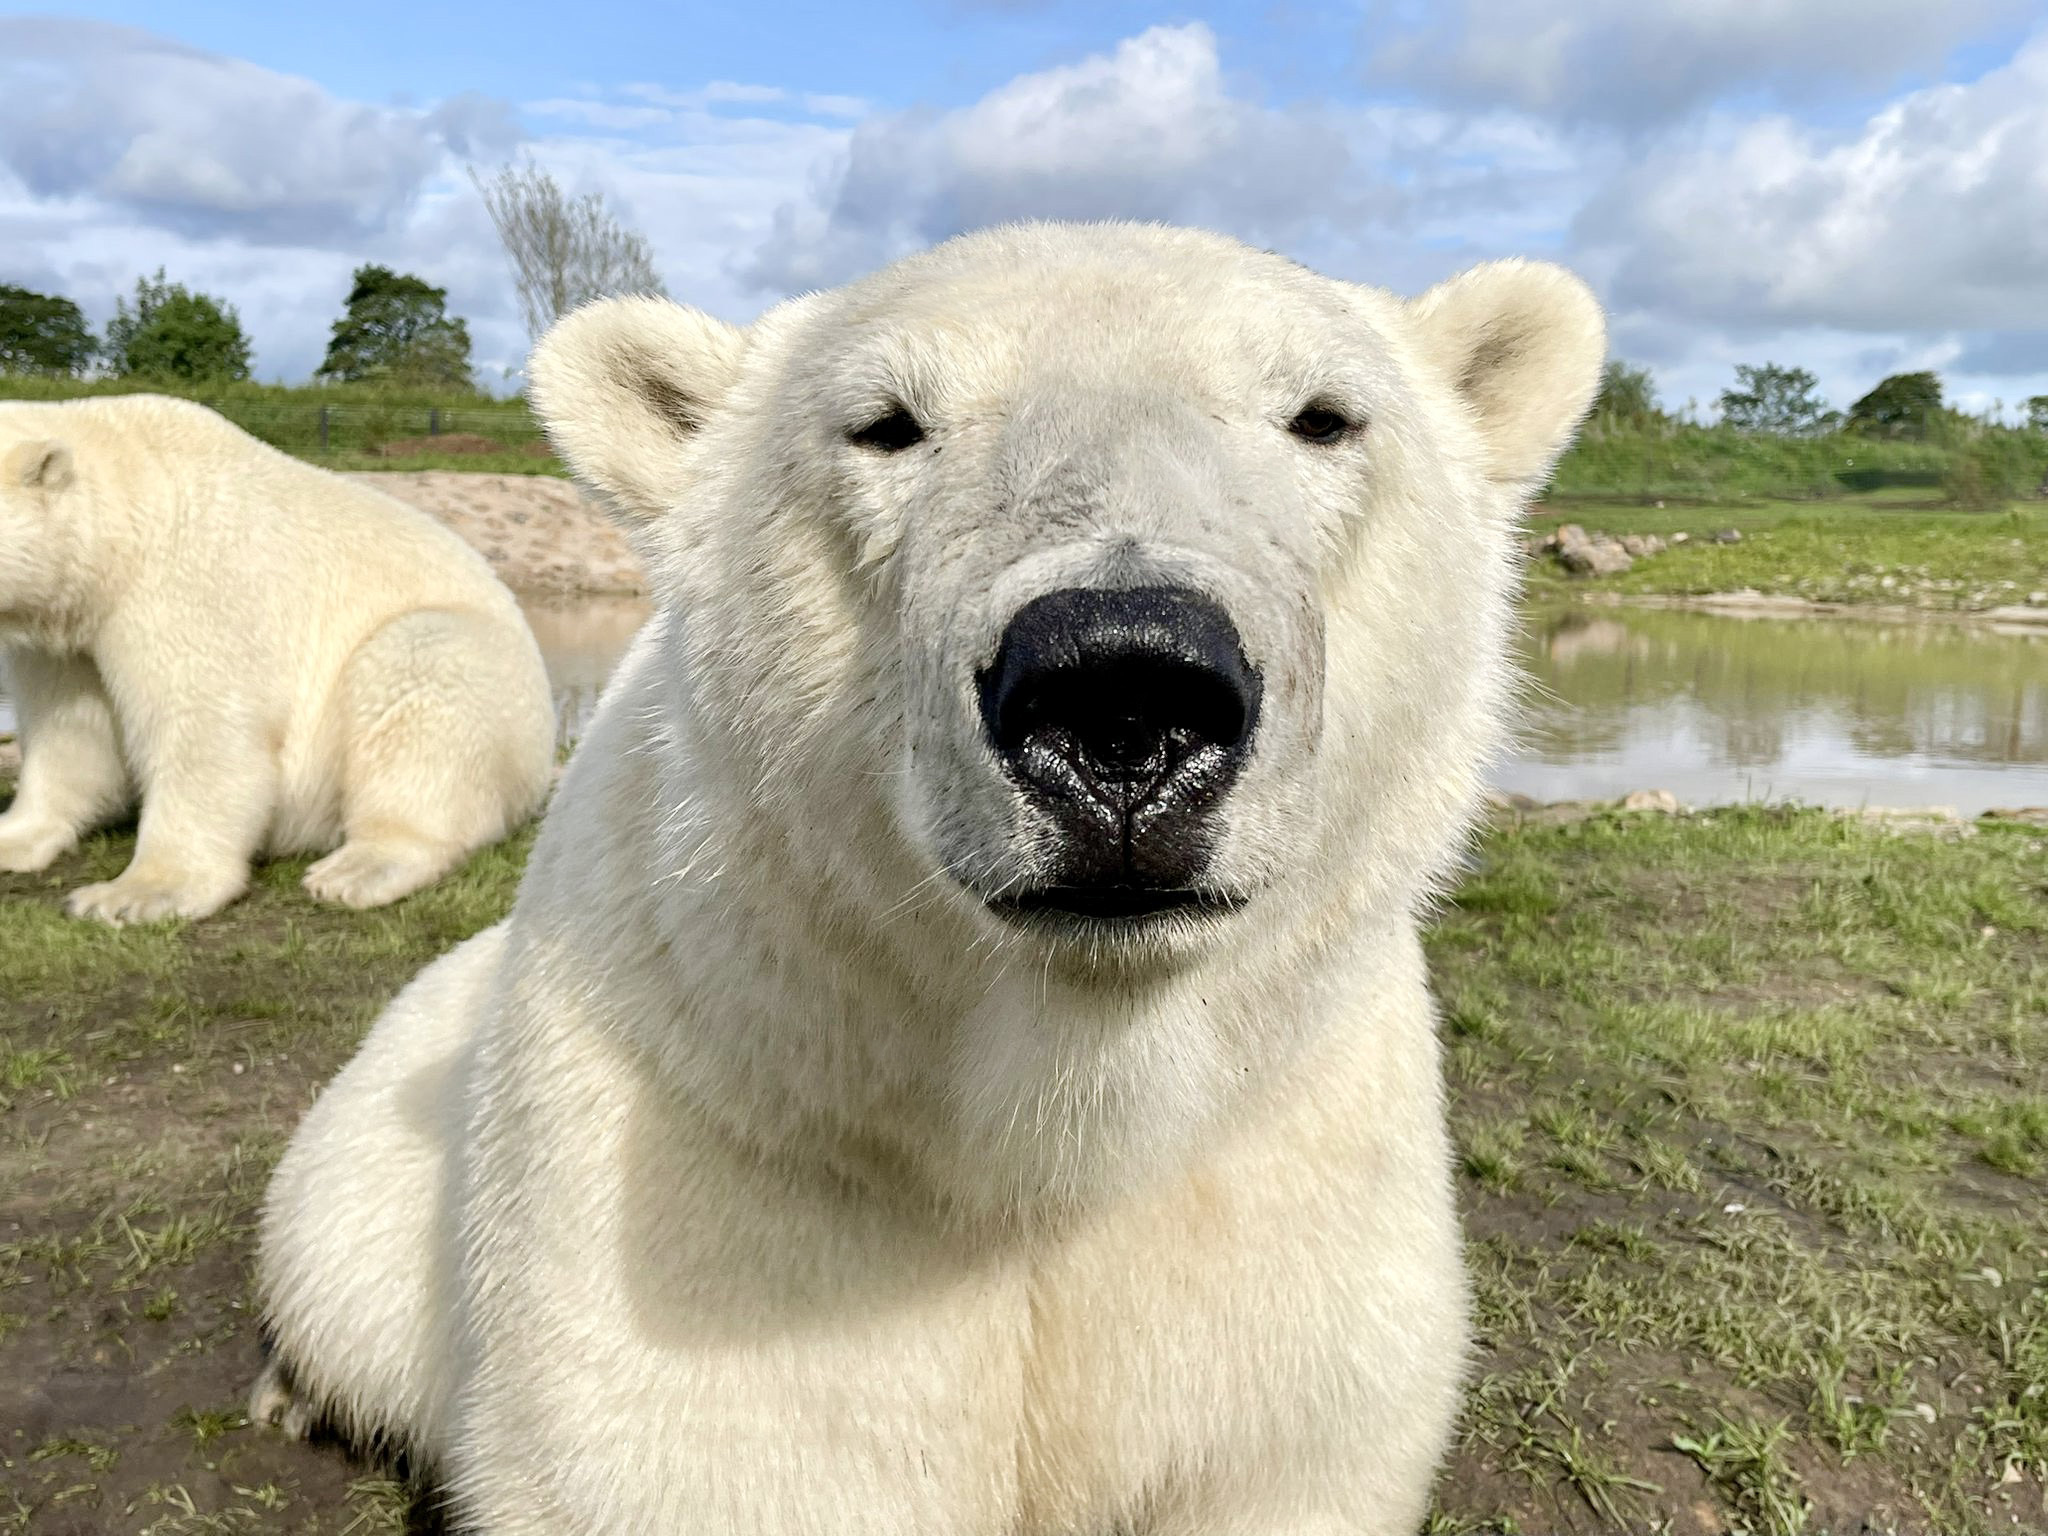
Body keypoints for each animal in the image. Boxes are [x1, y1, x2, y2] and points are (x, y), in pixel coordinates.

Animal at [0, 395, 556, 923]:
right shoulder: (67, 638)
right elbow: (69, 731)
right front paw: (14, 838)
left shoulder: (189, 588)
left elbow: (205, 729)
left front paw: (133, 895)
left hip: (481, 678)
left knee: (422, 670)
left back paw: (359, 868)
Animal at [250, 222, 1604, 1533]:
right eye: (886, 423)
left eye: (1322, 415)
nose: (1122, 696)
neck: (1056, 1110)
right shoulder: (714, 1163)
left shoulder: (1296, 1202)